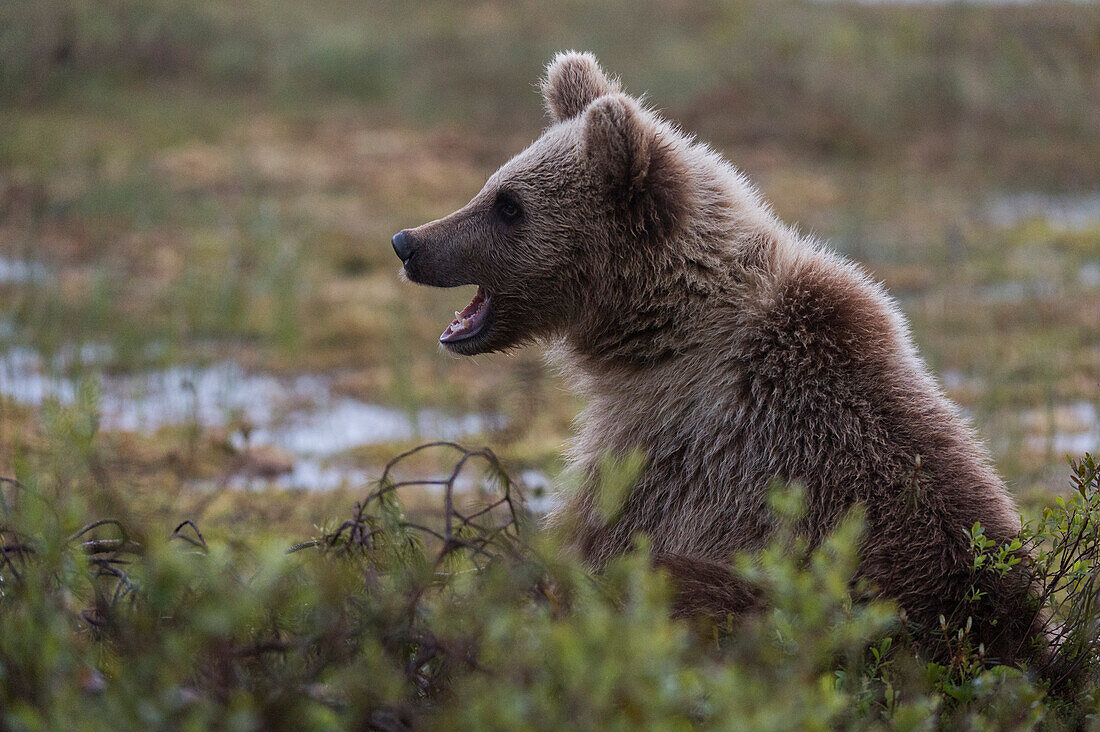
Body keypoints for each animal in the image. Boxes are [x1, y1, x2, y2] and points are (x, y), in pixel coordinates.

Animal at [393, 50, 1047, 669]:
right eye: (493, 184)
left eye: (509, 205)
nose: (408, 243)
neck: (659, 333)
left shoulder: (681, 445)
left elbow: (602, 542)